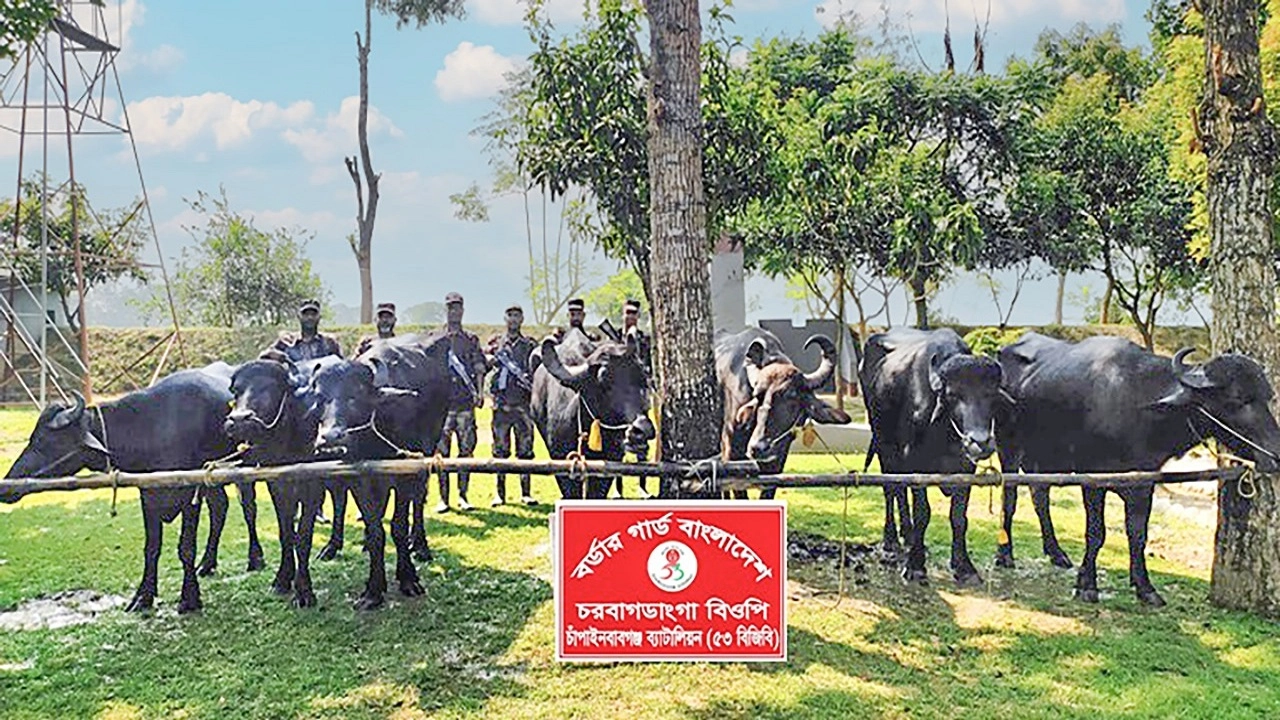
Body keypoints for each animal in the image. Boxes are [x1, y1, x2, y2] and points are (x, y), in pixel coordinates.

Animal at [2, 364, 253, 613]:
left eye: (45, 441)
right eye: (33, 437)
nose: (6, 487)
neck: (153, 427)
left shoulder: (190, 493)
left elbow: (186, 547)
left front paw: (189, 598)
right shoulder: (147, 495)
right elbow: (151, 547)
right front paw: (143, 597)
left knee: (248, 509)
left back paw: (254, 559)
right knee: (220, 508)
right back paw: (207, 564)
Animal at [224, 353, 340, 607]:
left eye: (270, 387)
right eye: (236, 390)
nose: (239, 420)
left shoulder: (313, 484)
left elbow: (304, 536)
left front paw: (304, 590)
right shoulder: (276, 484)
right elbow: (286, 533)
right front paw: (283, 579)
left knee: (340, 501)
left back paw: (332, 548)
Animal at [307, 333, 452, 610]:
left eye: (355, 396)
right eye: (319, 398)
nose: (330, 439)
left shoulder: (405, 473)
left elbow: (398, 525)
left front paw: (408, 578)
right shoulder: (361, 477)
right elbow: (376, 529)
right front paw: (374, 590)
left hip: (428, 449)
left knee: (419, 499)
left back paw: (420, 545)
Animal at [858, 327, 1010, 586]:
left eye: (990, 394)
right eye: (953, 394)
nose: (980, 442)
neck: (946, 430)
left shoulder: (965, 468)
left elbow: (959, 517)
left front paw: (964, 566)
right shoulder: (915, 462)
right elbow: (923, 513)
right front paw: (916, 566)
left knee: (900, 491)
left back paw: (908, 536)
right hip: (883, 444)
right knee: (891, 489)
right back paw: (891, 542)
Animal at [995, 332, 1280, 606]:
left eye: (1266, 397)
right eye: (1238, 400)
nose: (1275, 454)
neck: (1136, 404)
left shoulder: (1145, 484)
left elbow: (1138, 534)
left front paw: (1145, 587)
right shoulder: (1093, 480)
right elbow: (1096, 533)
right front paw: (1087, 585)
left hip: (1043, 458)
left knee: (1039, 496)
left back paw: (1056, 553)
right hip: (1008, 449)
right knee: (1010, 498)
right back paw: (1005, 555)